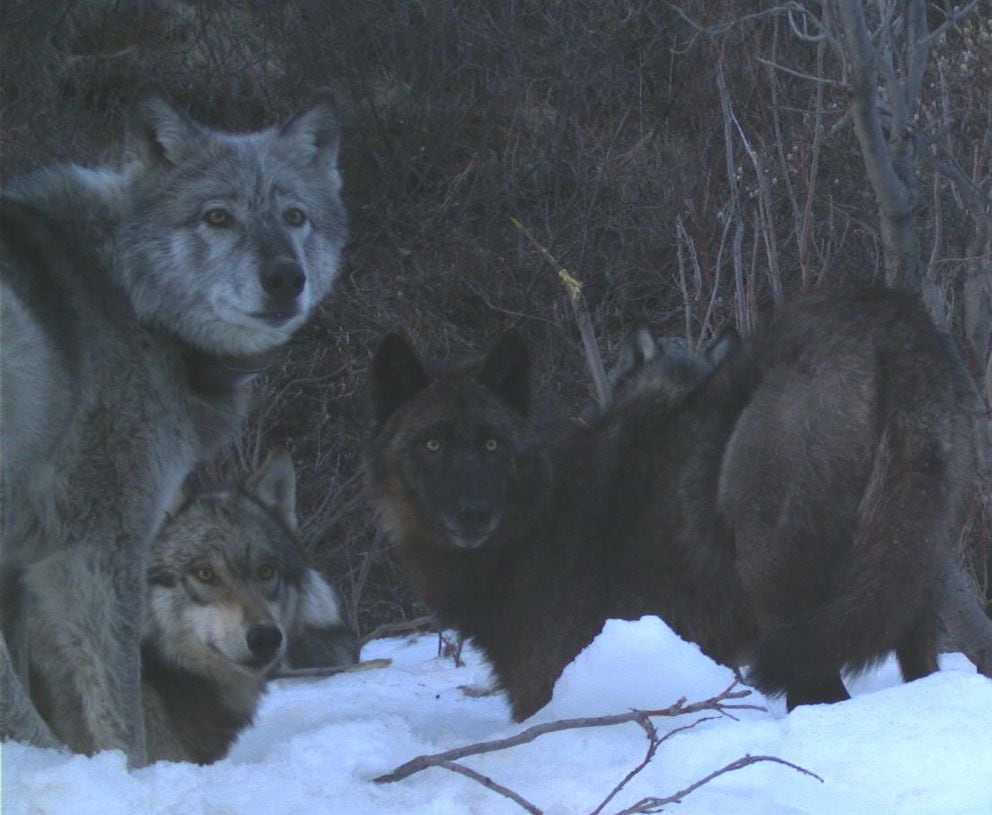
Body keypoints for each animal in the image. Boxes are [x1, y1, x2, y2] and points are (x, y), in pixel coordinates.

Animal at [0, 92, 348, 768]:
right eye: (218, 216)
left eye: (294, 216)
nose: (285, 277)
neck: (125, 293)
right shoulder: (94, 547)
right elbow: (119, 708)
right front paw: (123, 778)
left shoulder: (21, 566)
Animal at [370, 284, 976, 716]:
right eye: (432, 443)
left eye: (493, 444)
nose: (472, 513)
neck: (539, 512)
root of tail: (883, 313)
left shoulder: (546, 684)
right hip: (909, 586)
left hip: (782, 595)